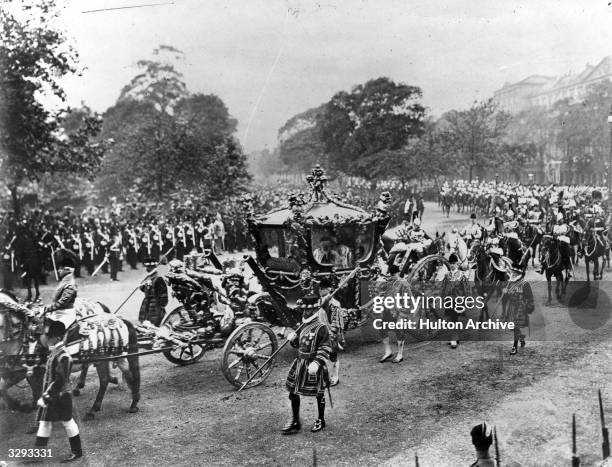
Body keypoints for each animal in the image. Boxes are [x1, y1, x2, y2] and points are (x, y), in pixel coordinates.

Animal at [0, 290, 140, 422]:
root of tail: (120, 320)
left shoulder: (29, 371)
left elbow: (30, 389)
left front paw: (24, 407)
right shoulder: (21, 371)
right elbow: (6, 387)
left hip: (107, 357)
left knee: (110, 377)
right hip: (108, 357)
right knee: (122, 374)